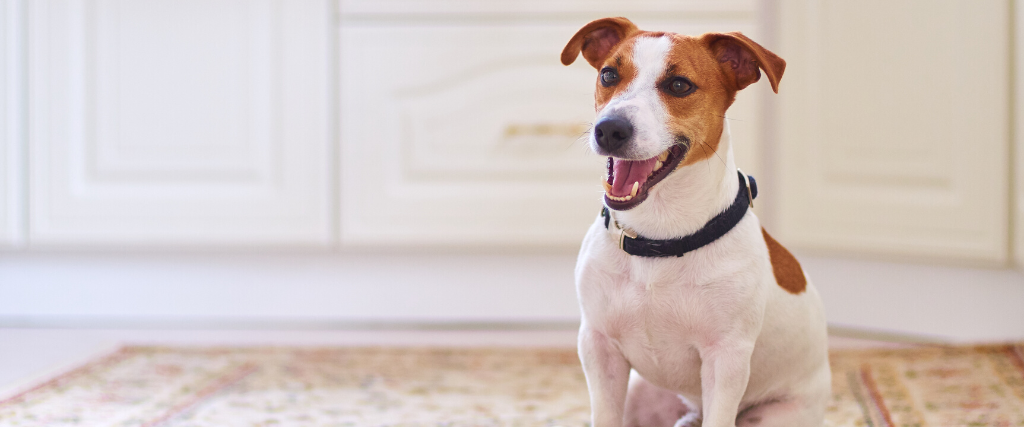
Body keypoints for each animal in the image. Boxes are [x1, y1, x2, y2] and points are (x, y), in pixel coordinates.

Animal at [561, 17, 831, 425]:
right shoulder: (598, 346)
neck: (659, 237)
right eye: (609, 74)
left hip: (775, 415)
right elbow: (604, 415)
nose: (609, 129)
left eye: (679, 85)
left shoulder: (726, 359)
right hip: (641, 393)